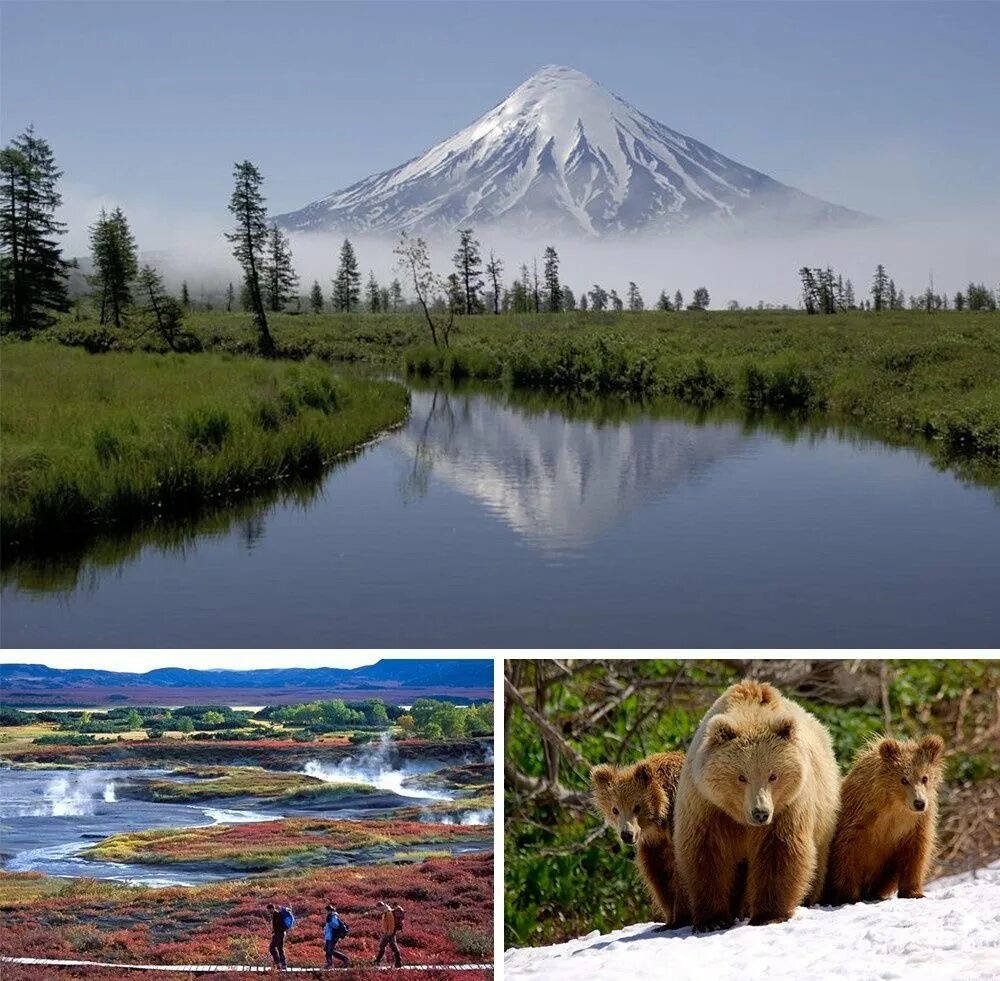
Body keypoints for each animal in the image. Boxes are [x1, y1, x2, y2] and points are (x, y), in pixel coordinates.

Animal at [588, 752, 692, 928]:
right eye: (615, 809)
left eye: (637, 807)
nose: (627, 834)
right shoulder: (653, 845)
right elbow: (657, 876)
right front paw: (670, 920)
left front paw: (682, 917)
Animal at [672, 676, 844, 932]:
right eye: (741, 777)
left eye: (773, 775)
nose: (760, 812)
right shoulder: (707, 806)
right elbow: (706, 854)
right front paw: (712, 920)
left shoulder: (787, 807)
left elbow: (780, 851)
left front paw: (768, 915)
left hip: (824, 812)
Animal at [820, 736, 944, 904]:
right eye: (904, 780)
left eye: (925, 778)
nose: (919, 803)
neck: (895, 806)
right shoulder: (860, 818)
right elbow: (848, 852)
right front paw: (848, 895)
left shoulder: (916, 824)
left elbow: (916, 854)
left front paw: (914, 892)